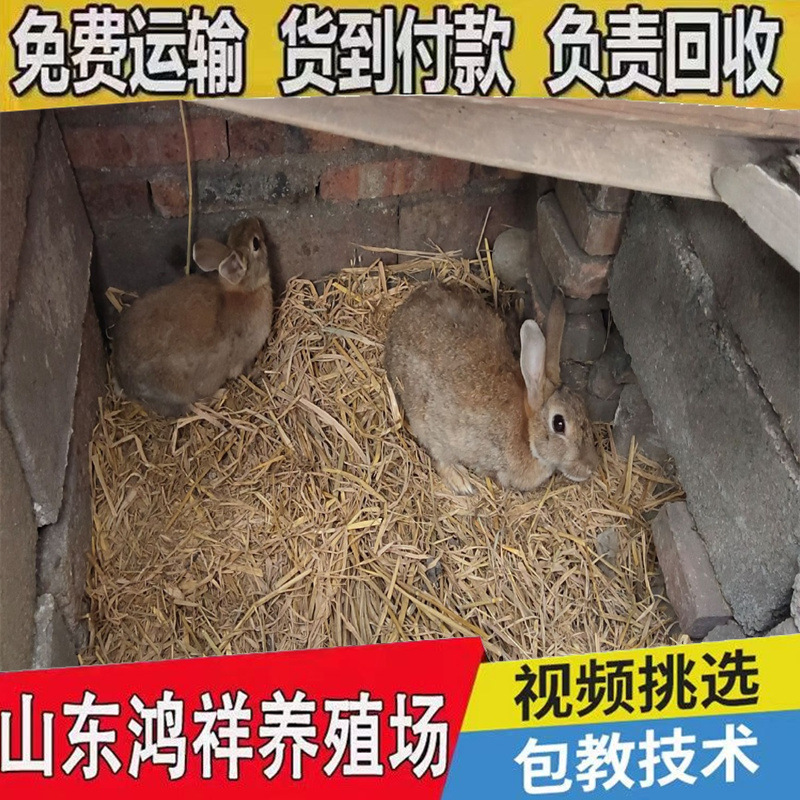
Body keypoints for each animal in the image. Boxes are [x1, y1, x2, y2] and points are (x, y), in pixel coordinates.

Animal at [112, 216, 273, 418]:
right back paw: (218, 394)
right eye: (256, 243)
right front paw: (257, 371)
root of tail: (125, 383)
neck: (243, 290)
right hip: (177, 391)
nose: (255, 220)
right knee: (189, 406)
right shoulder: (243, 357)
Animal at [384, 281, 599, 495]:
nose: (589, 468)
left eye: (583, 406)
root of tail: (400, 316)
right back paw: (461, 480)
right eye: (559, 424)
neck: (528, 433)